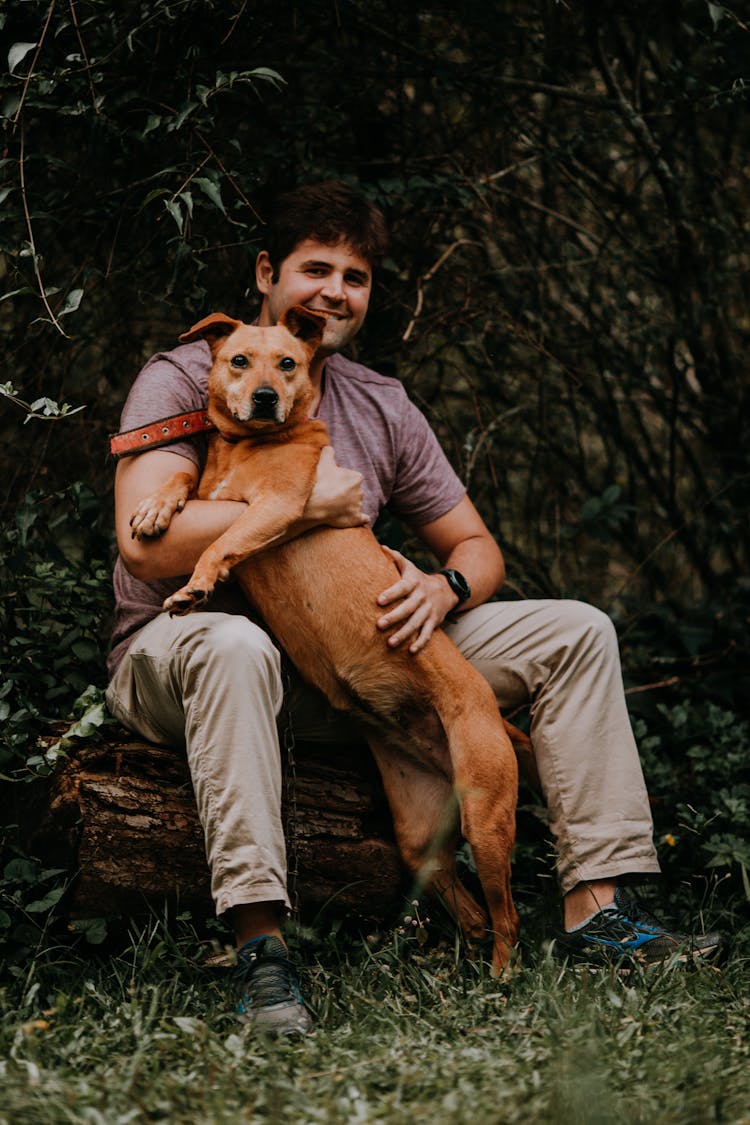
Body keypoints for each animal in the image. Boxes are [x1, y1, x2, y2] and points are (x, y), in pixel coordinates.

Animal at [130, 303, 521, 972]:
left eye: (288, 363)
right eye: (239, 360)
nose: (265, 397)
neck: (247, 445)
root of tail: (490, 714)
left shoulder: (276, 507)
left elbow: (219, 541)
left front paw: (197, 584)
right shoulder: (215, 492)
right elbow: (180, 483)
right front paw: (156, 506)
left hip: (487, 818)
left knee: (507, 915)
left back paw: (502, 977)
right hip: (418, 833)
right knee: (465, 905)